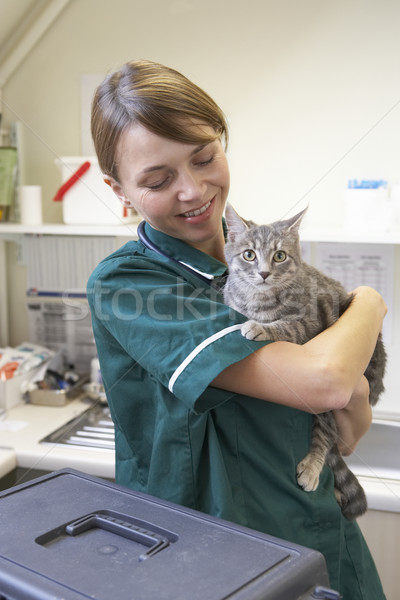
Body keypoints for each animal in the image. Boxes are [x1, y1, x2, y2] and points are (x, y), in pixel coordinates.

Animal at [223, 203, 386, 520]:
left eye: (280, 256)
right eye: (249, 255)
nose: (264, 273)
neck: (259, 299)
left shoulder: (311, 322)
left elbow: (287, 327)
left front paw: (261, 327)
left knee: (326, 430)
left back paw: (313, 465)